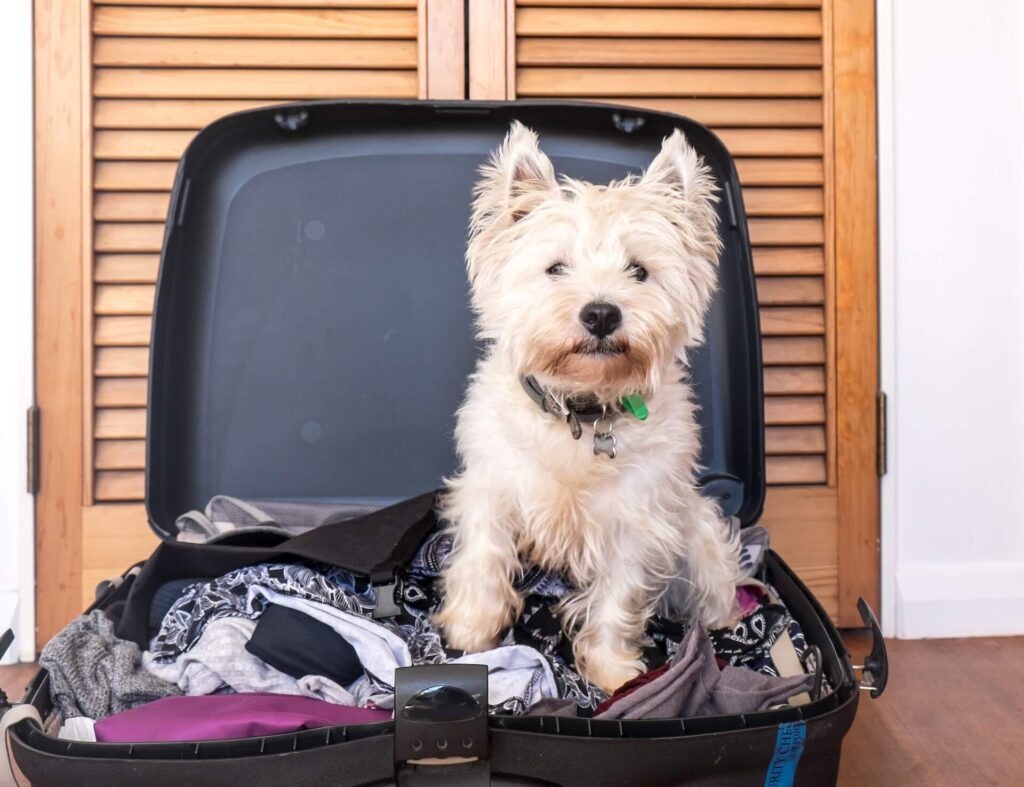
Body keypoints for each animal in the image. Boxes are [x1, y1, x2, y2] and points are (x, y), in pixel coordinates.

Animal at [436, 122, 741, 695]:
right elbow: (484, 554)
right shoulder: (492, 487)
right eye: (555, 268)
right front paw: (472, 629)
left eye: (639, 271)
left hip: (700, 537)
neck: (581, 413)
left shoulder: (637, 519)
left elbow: (618, 597)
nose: (601, 313)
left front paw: (612, 670)